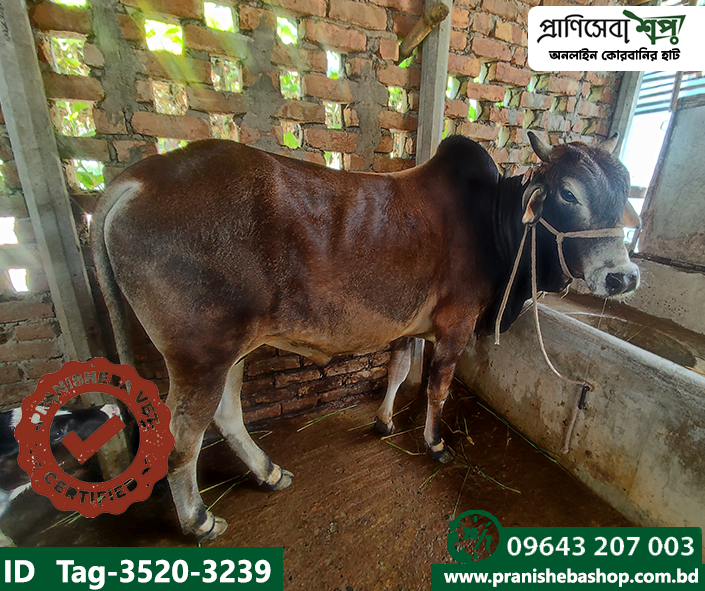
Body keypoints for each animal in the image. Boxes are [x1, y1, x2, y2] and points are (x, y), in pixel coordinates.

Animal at [92, 132, 639, 541]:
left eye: (624, 190)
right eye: (568, 193)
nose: (623, 277)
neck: (490, 223)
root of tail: (138, 177)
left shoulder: (408, 325)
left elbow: (398, 371)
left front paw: (383, 422)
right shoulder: (456, 324)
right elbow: (437, 388)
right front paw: (435, 444)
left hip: (232, 351)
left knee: (226, 416)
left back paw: (269, 472)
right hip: (199, 357)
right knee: (182, 438)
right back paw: (199, 520)